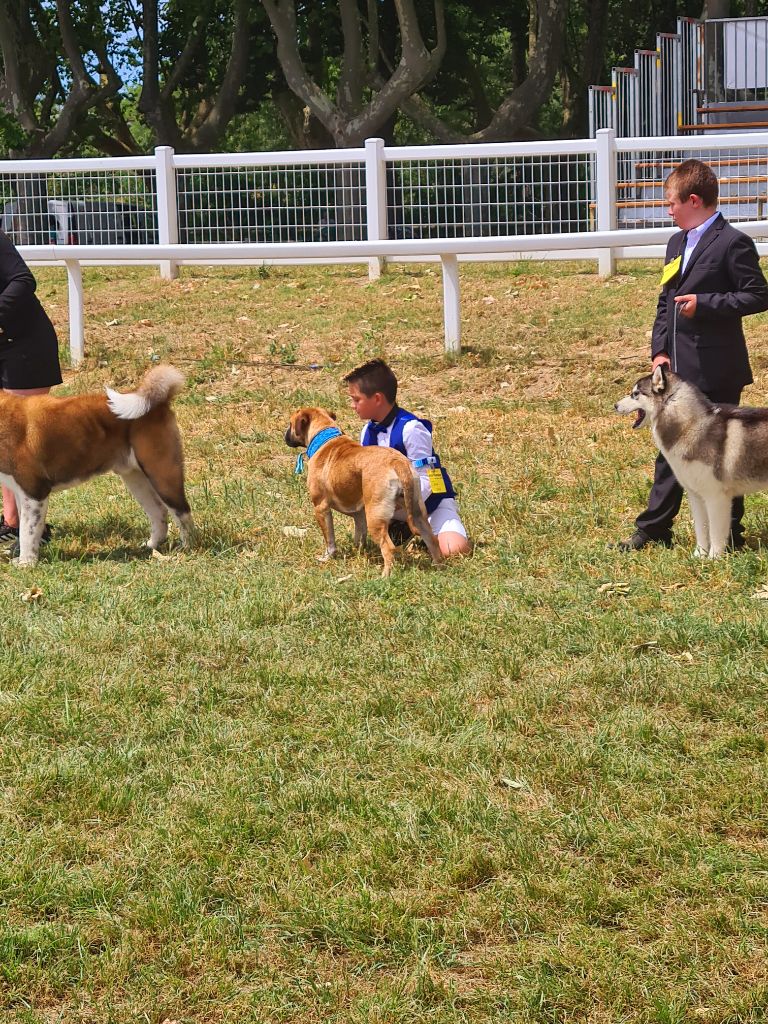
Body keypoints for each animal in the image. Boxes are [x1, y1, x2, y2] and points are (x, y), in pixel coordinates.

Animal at [0, 364, 192, 565]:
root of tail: (159, 403)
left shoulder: (35, 492)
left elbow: (27, 532)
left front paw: (26, 563)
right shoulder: (22, 493)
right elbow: (25, 528)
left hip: (162, 474)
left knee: (182, 512)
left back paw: (186, 547)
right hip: (136, 479)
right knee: (159, 512)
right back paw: (151, 546)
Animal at [286, 405, 444, 577]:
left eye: (290, 423)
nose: (285, 436)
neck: (324, 437)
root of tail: (397, 462)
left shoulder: (321, 508)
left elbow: (329, 539)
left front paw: (327, 556)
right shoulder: (359, 514)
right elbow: (359, 536)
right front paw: (359, 552)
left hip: (375, 518)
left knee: (388, 548)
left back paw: (385, 576)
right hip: (417, 512)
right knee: (432, 540)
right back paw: (438, 566)